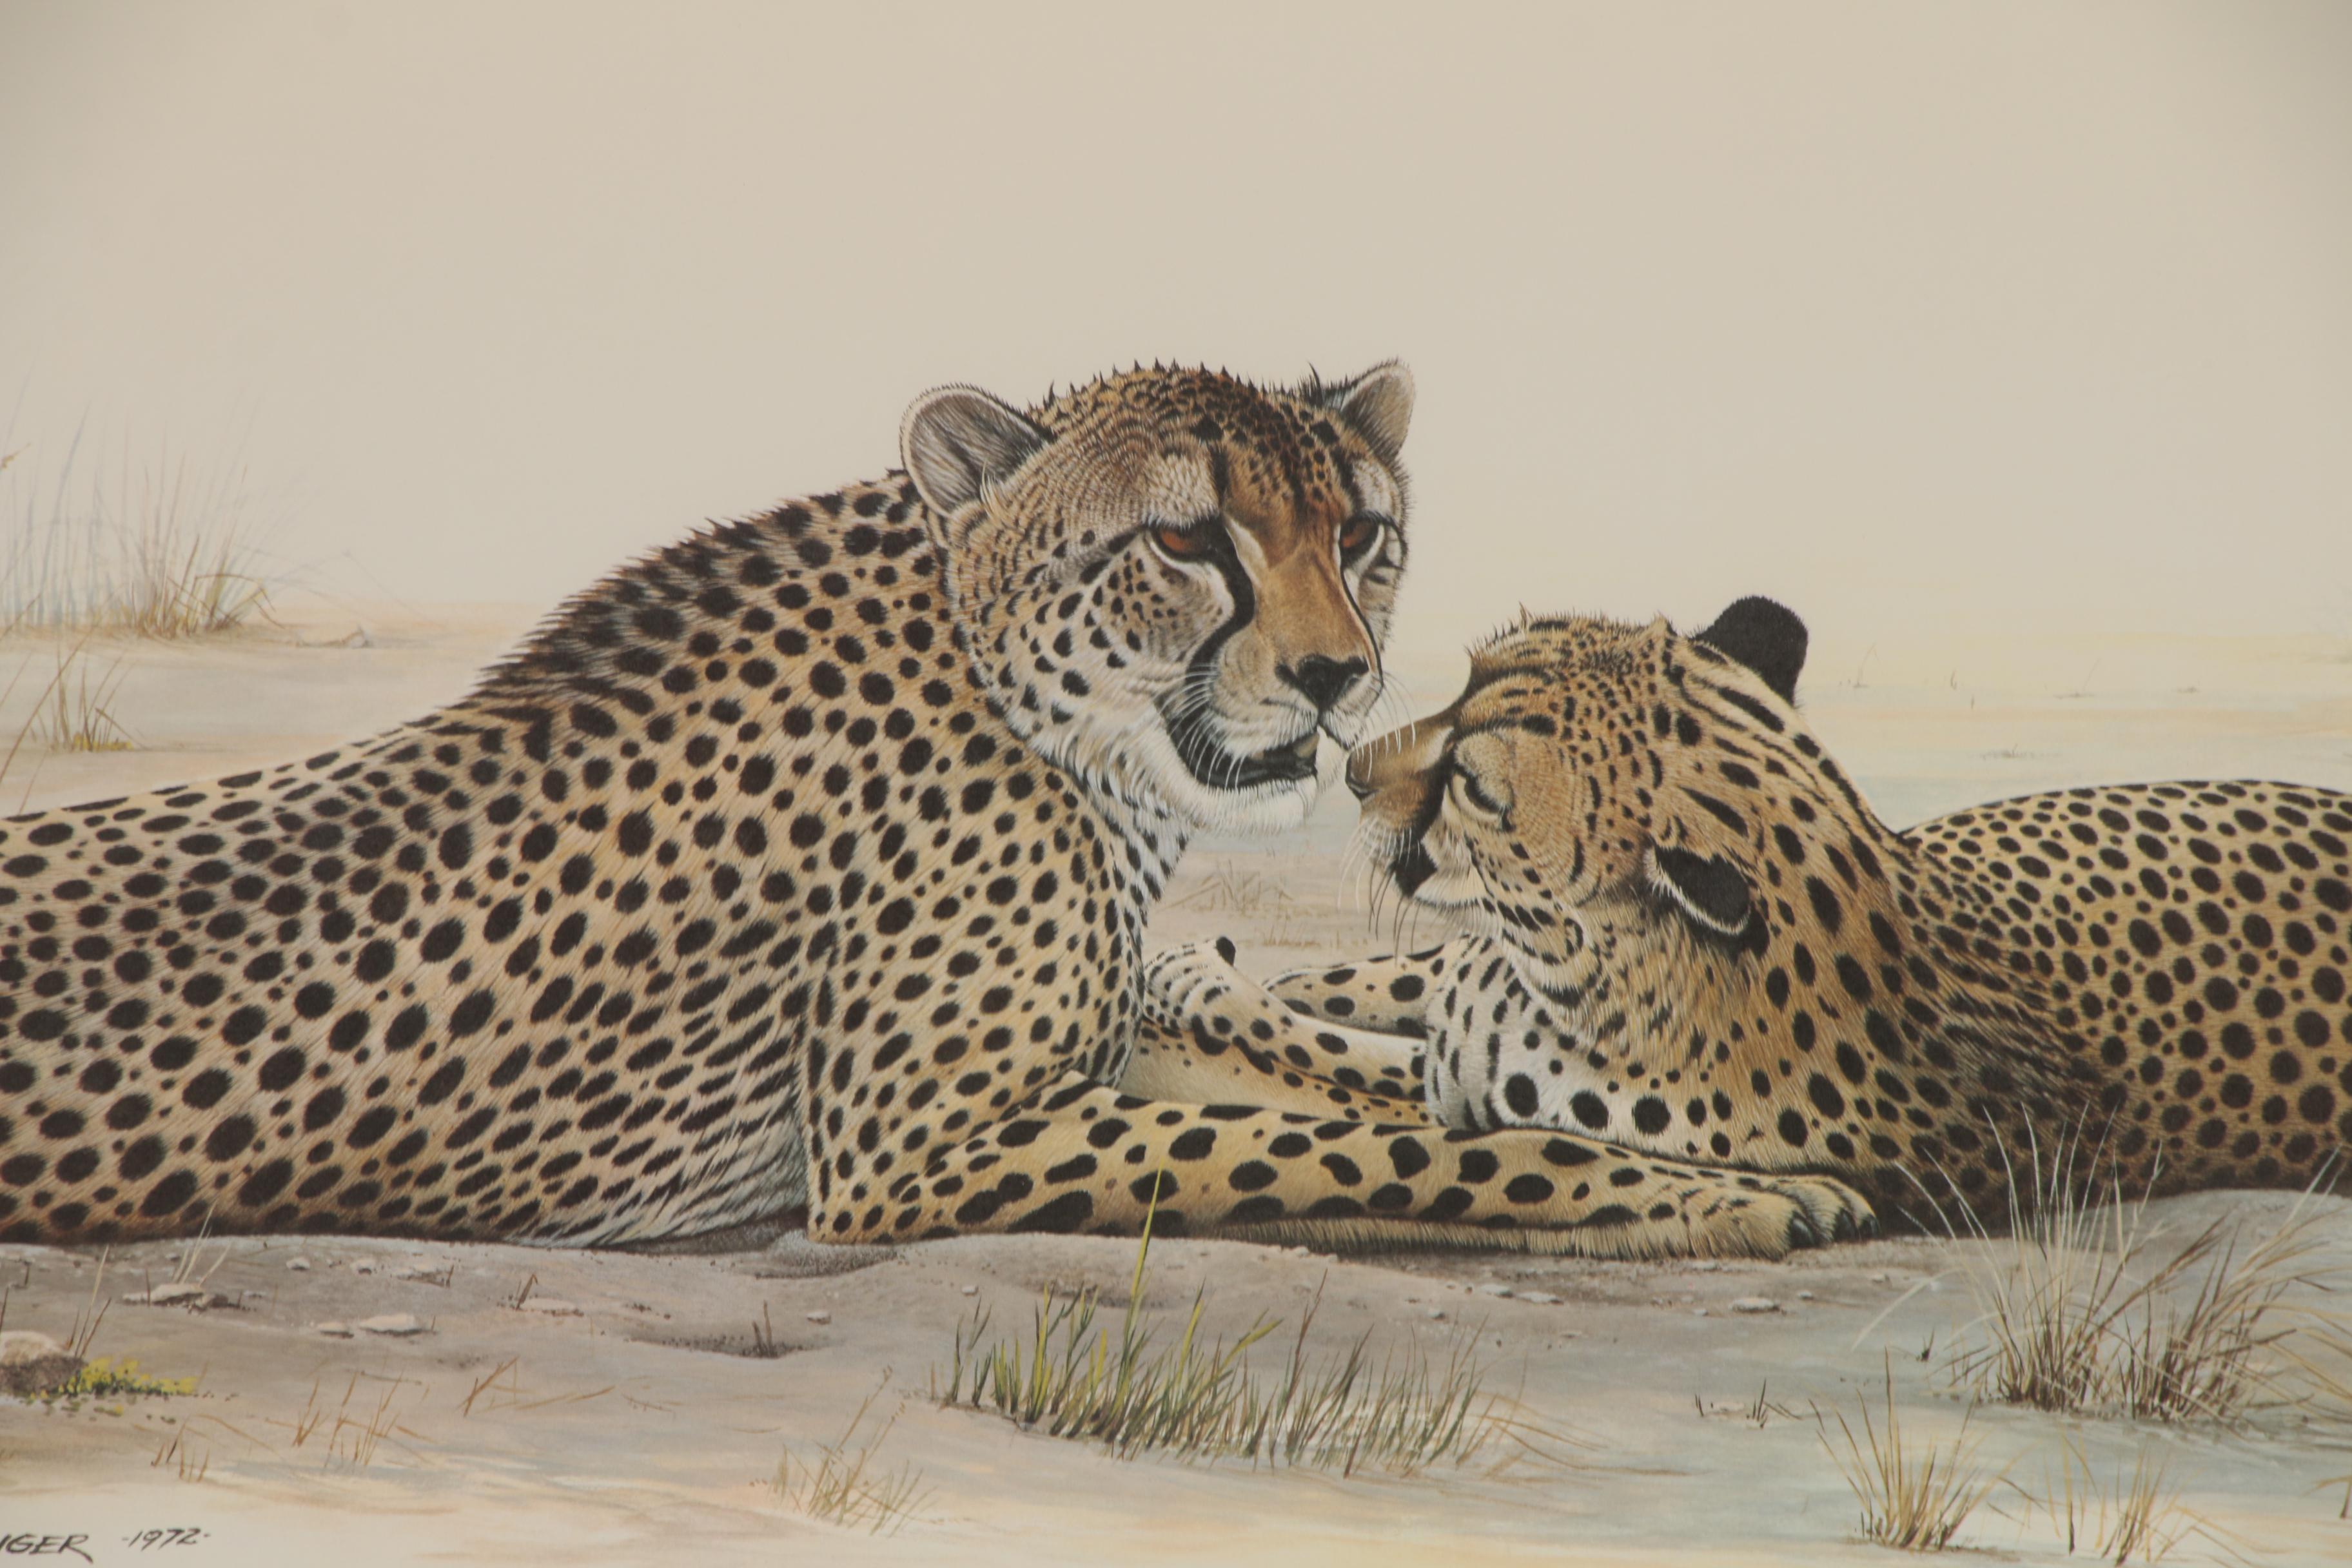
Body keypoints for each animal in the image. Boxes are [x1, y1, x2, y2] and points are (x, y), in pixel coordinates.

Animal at [0, 366, 1867, 1258]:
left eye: (1362, 533)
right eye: (1187, 539)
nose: (1342, 680)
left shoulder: (1110, 1029)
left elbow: (1361, 1072)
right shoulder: (918, 1148)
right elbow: (1398, 1145)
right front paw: (1728, 1192)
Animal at [1140, 596, 2352, 1236]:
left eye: (1474, 788)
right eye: (1465, 681)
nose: (1352, 773)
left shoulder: (1469, 1082)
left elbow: (1341, 1060)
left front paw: (1191, 985)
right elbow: (1348, 1021)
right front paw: (1208, 977)